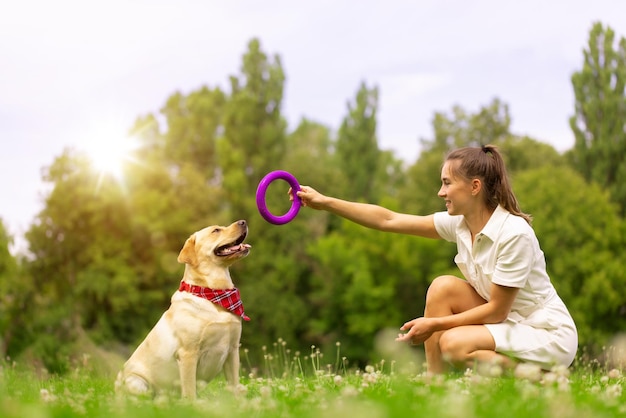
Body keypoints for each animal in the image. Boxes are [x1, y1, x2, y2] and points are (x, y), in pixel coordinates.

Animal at [113, 219, 250, 398]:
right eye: (216, 230)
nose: (243, 221)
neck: (213, 293)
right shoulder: (188, 353)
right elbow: (190, 389)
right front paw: (191, 403)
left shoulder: (233, 350)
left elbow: (234, 383)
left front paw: (238, 402)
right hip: (137, 383)